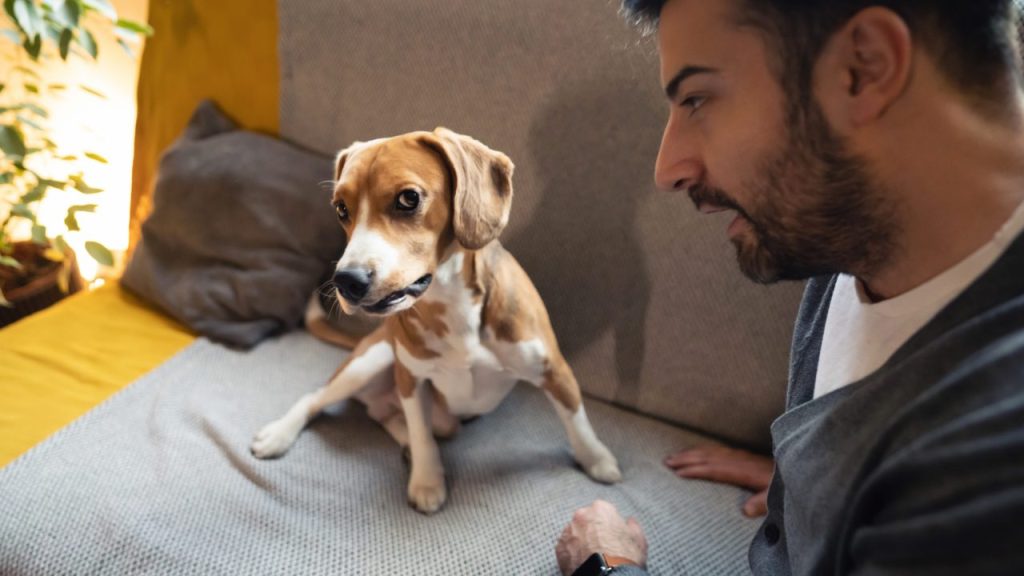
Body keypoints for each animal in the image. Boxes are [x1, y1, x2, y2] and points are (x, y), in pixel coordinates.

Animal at [253, 129, 622, 510]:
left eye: (408, 198)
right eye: (341, 209)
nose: (346, 281)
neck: (451, 301)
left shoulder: (554, 369)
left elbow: (577, 419)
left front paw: (596, 460)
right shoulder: (411, 380)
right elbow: (421, 434)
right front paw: (427, 481)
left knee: (388, 415)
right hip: (371, 361)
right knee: (316, 399)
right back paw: (279, 434)